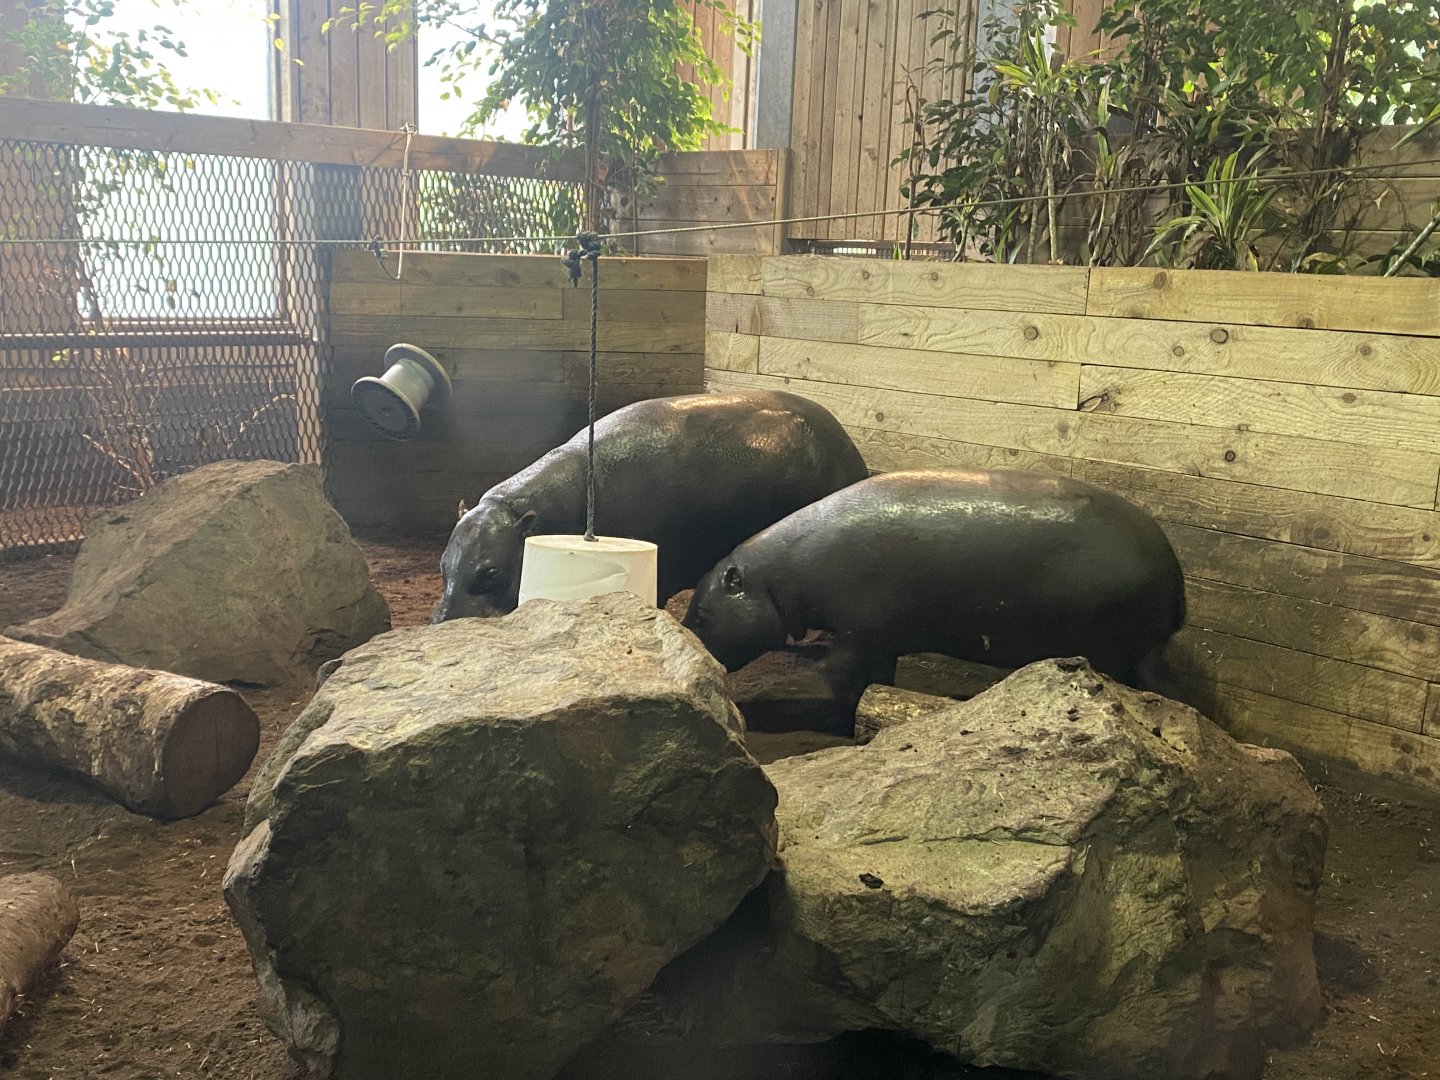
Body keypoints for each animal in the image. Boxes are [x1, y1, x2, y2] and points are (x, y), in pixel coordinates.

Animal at [682, 468, 1187, 688]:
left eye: (701, 613)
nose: (691, 649)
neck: (775, 575)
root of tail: (1173, 571)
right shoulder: (880, 638)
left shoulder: (859, 634)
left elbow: (847, 674)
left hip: (1115, 646)